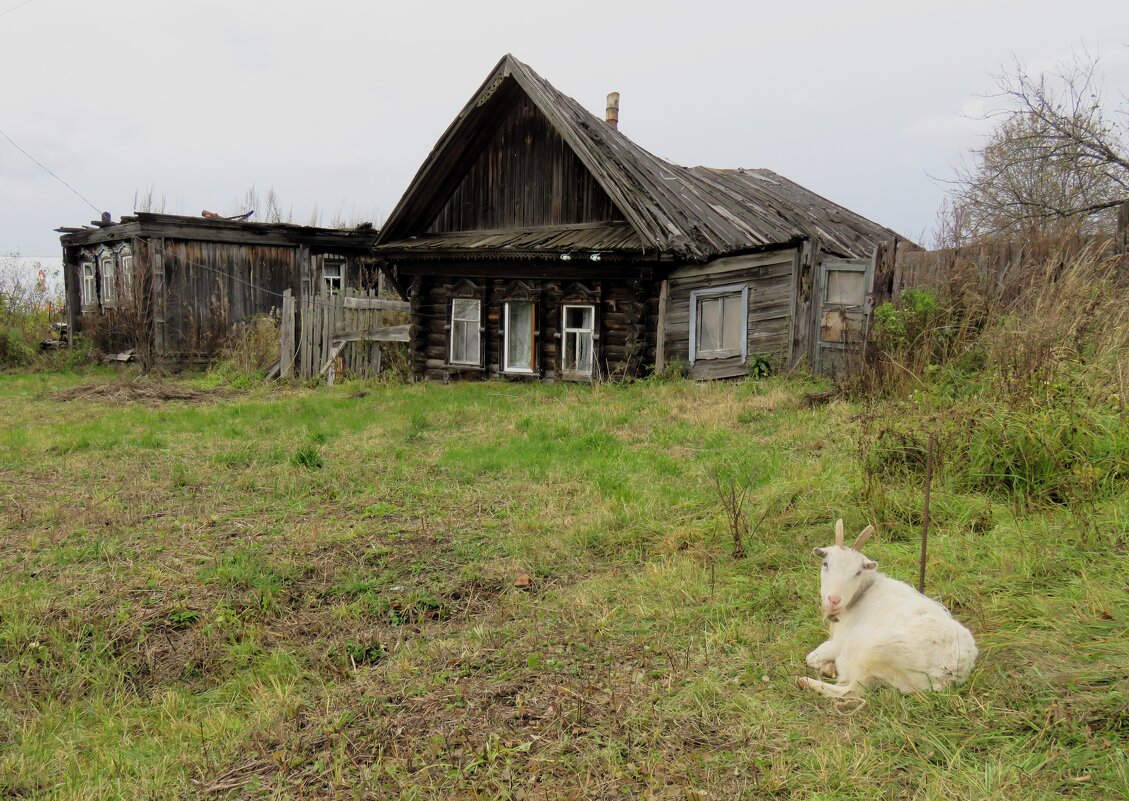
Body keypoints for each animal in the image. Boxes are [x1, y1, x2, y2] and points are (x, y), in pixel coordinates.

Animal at [799, 521, 975, 695]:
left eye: (858, 572)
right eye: (825, 564)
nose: (834, 600)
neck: (863, 593)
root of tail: (949, 675)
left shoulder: (840, 643)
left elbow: (811, 658)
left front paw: (827, 667)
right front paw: (828, 667)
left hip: (873, 653)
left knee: (851, 690)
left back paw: (806, 682)